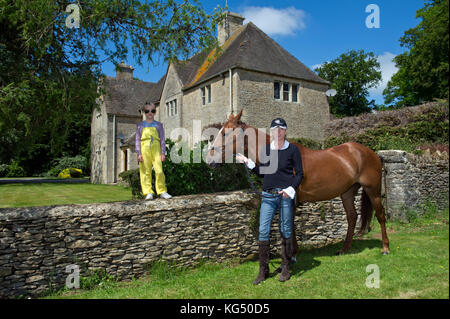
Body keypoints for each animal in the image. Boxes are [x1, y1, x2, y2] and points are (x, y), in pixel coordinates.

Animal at [206, 111, 388, 256]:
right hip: (347, 192)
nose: (209, 160)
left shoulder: (290, 198)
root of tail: (370, 152)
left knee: (380, 215)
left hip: (373, 190)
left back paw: (385, 248)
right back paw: (345, 249)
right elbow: (288, 224)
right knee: (352, 217)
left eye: (224, 133)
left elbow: (289, 224)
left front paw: (292, 253)